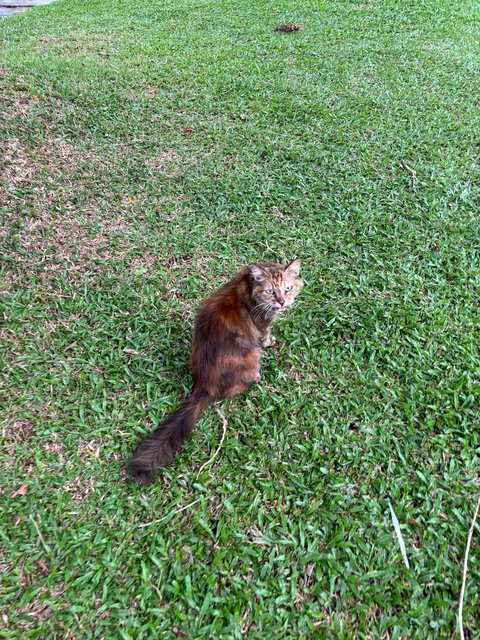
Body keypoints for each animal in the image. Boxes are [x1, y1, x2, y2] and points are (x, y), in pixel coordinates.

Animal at [128, 258, 304, 482]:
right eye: (271, 291)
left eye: (288, 288)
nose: (282, 302)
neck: (248, 285)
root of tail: (205, 383)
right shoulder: (262, 325)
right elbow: (265, 335)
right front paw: (271, 341)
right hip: (252, 357)